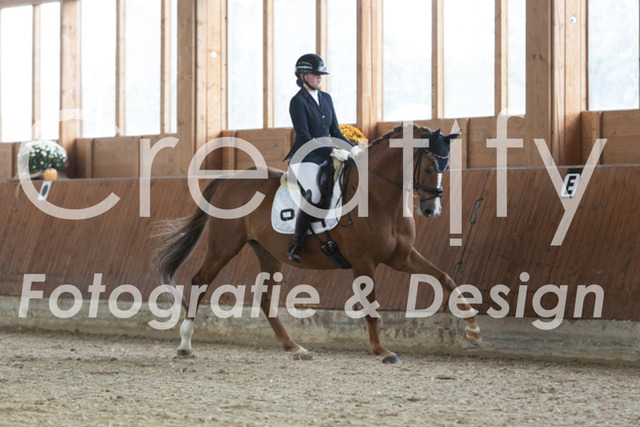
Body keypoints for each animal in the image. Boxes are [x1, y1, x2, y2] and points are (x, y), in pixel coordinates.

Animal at [155, 123, 482, 364]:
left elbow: (445, 277)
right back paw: (185, 345)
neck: (376, 197)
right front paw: (382, 351)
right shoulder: (364, 262)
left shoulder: (401, 257)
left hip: (268, 253)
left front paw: (474, 330)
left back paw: (294, 347)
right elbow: (371, 305)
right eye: (428, 168)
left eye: (446, 167)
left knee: (266, 299)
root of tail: (229, 179)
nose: (431, 210)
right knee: (200, 281)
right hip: (224, 246)